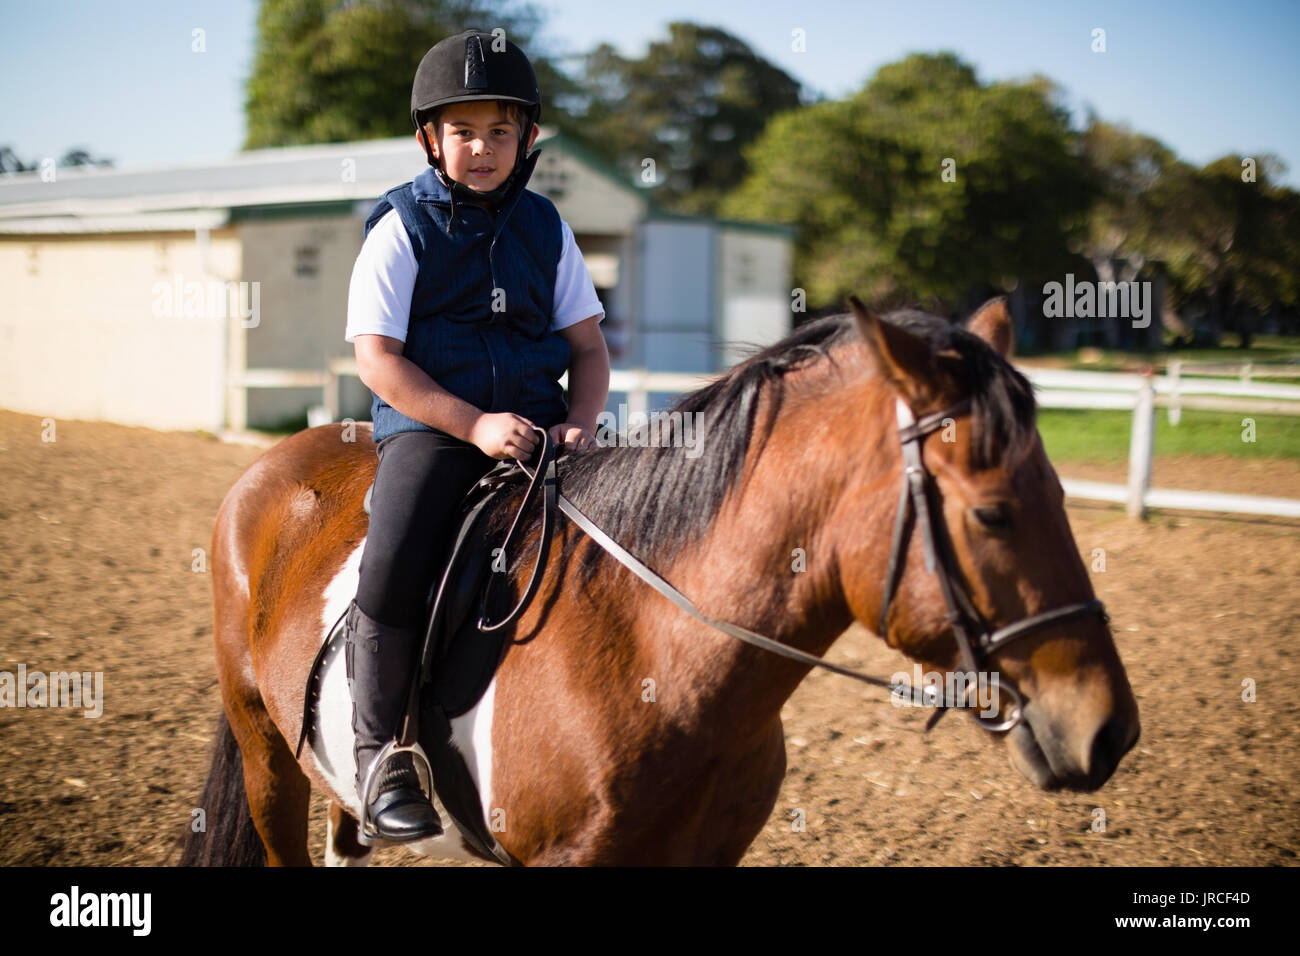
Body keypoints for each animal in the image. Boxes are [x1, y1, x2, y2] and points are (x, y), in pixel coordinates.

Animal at [180, 299, 1138, 868]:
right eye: (994, 514)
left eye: (1061, 494)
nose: (1109, 731)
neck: (652, 652)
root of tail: (269, 467)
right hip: (267, 755)